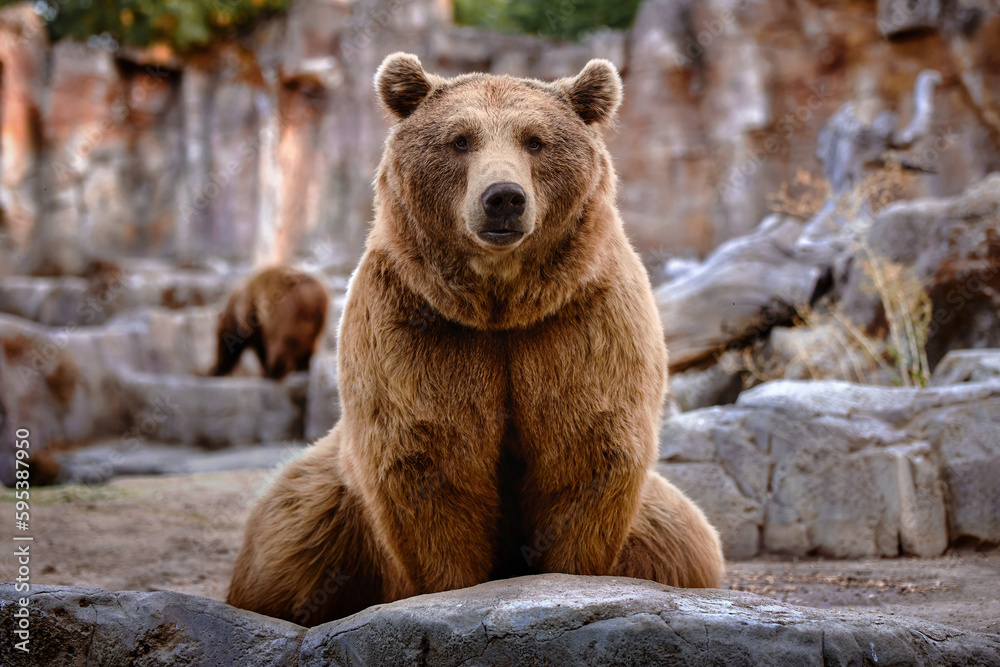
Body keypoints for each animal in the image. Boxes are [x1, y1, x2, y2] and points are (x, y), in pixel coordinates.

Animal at [227, 53, 724, 626]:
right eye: (460, 140)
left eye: (535, 140)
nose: (503, 198)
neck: (499, 305)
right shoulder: (418, 327)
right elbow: (431, 459)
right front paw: (452, 590)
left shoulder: (579, 321)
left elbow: (586, 449)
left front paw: (571, 577)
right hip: (324, 502)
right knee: (289, 544)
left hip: (668, 526)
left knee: (686, 542)